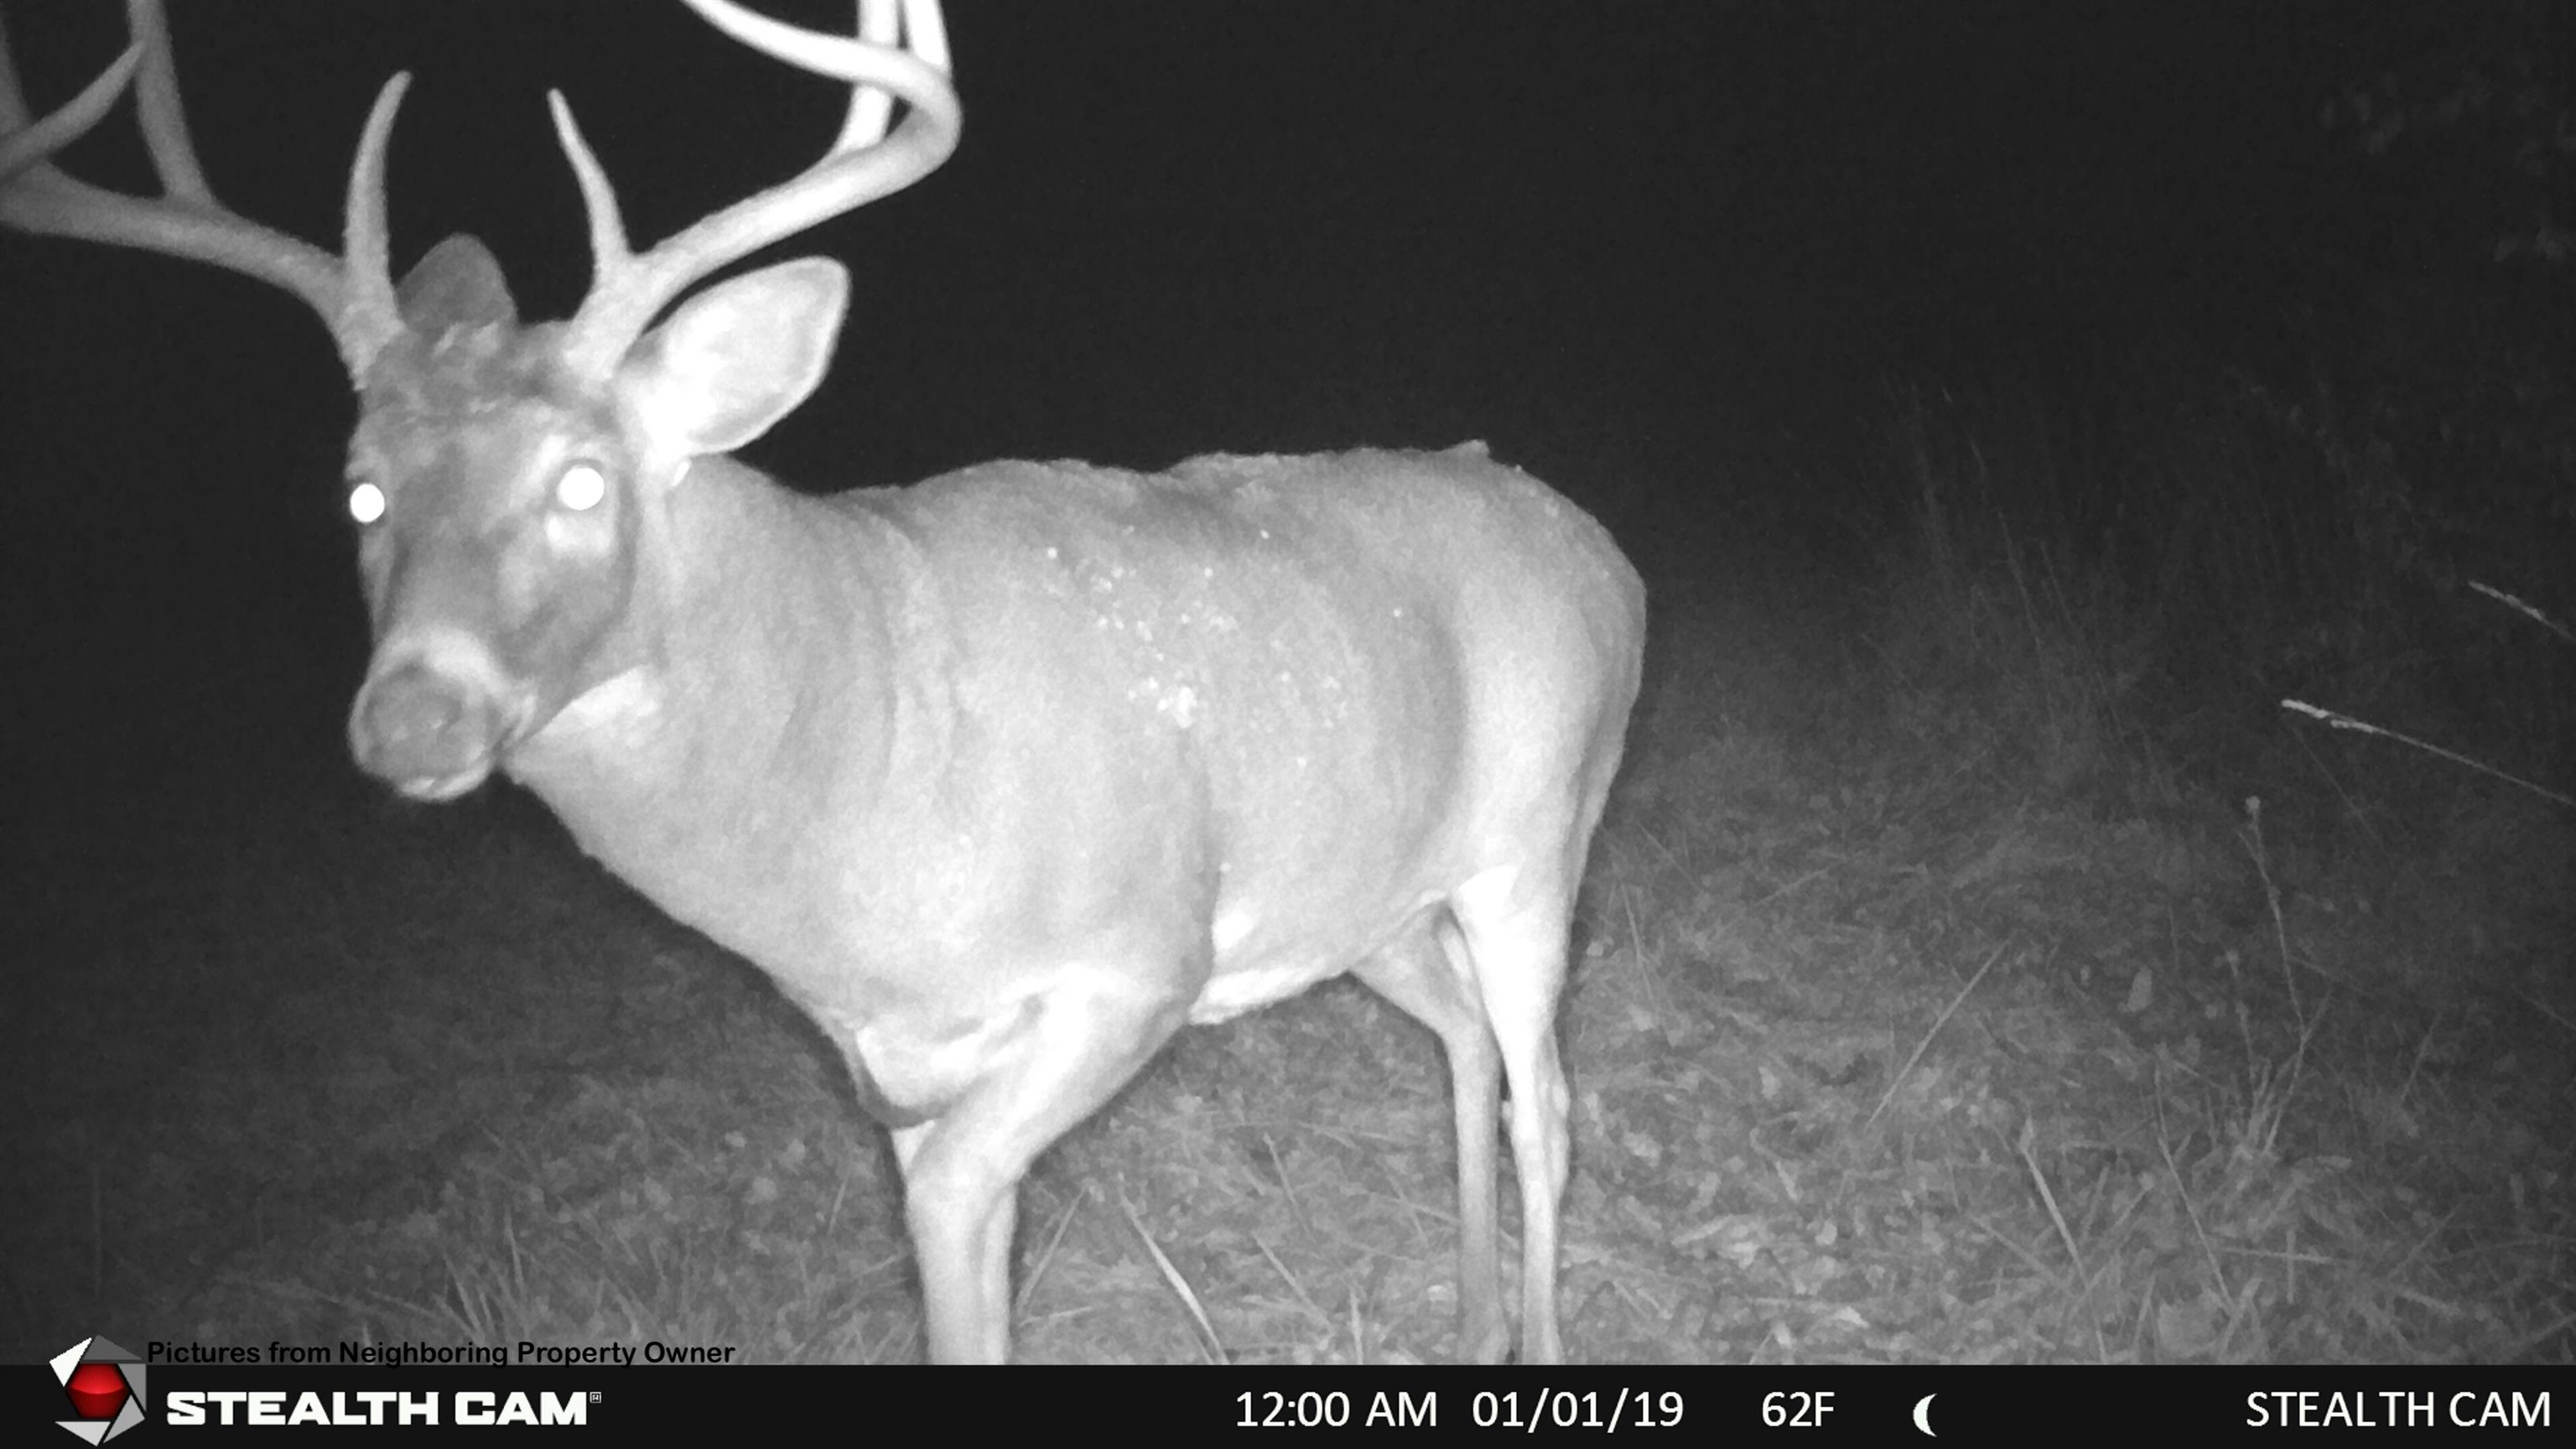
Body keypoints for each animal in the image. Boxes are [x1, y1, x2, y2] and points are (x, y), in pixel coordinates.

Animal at [1, 0, 1645, 1363]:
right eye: (360, 490)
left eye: (583, 479)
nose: (411, 718)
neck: (869, 786)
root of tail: (1602, 548)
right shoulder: (893, 1056)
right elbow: (956, 1280)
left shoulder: (1138, 956)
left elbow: (952, 1222)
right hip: (1367, 896)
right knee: (1459, 1042)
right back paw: (1471, 1324)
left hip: (1536, 836)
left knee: (1550, 1091)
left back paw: (1538, 1341)